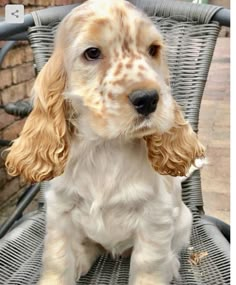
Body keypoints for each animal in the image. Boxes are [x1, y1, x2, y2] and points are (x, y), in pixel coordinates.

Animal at [5, 0, 205, 284]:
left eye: (153, 50)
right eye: (92, 53)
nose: (148, 99)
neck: (105, 146)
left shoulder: (155, 216)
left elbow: (149, 265)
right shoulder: (60, 211)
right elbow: (57, 259)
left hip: (184, 220)